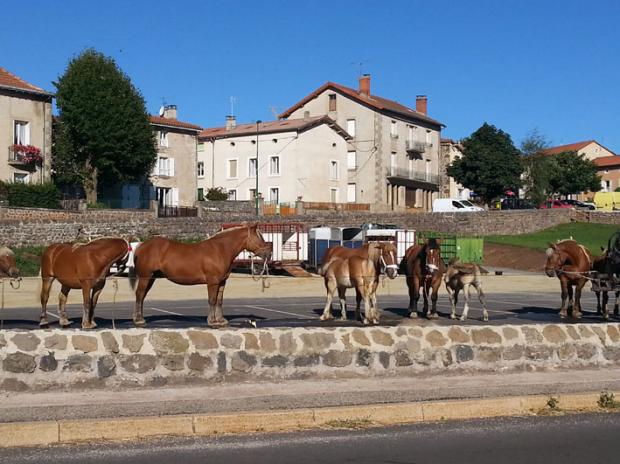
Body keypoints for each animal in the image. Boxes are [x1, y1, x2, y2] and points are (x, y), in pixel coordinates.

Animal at [130, 224, 272, 326]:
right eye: (259, 237)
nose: (268, 254)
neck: (220, 250)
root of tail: (142, 245)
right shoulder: (213, 282)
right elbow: (212, 300)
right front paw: (212, 321)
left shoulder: (222, 282)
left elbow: (219, 301)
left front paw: (221, 320)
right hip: (145, 277)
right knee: (139, 295)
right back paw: (138, 320)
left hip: (151, 278)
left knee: (142, 296)